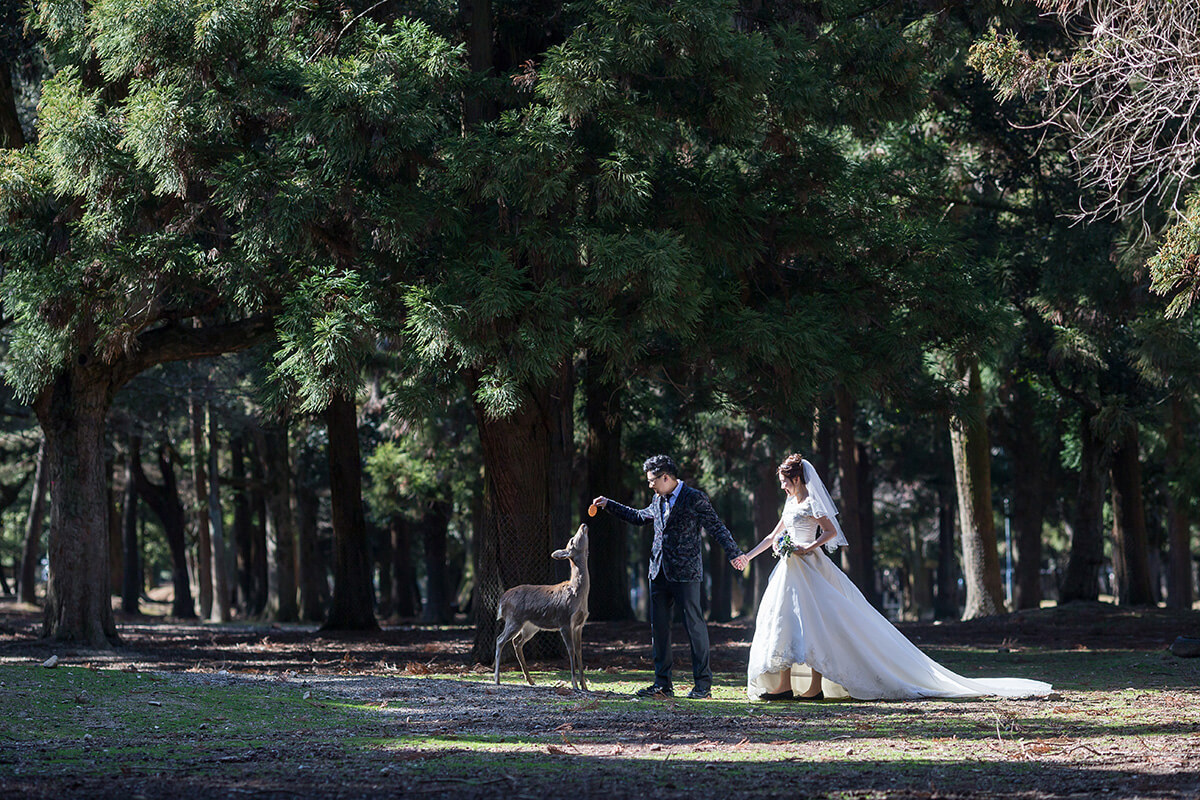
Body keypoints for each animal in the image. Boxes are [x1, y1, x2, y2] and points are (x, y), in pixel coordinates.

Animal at [492, 522, 590, 690]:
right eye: (572, 540)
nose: (583, 524)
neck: (578, 595)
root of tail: (501, 602)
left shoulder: (579, 624)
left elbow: (579, 651)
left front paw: (584, 686)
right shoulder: (564, 621)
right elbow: (571, 650)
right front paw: (574, 684)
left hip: (530, 626)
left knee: (517, 642)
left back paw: (530, 680)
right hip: (514, 619)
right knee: (500, 640)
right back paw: (497, 679)